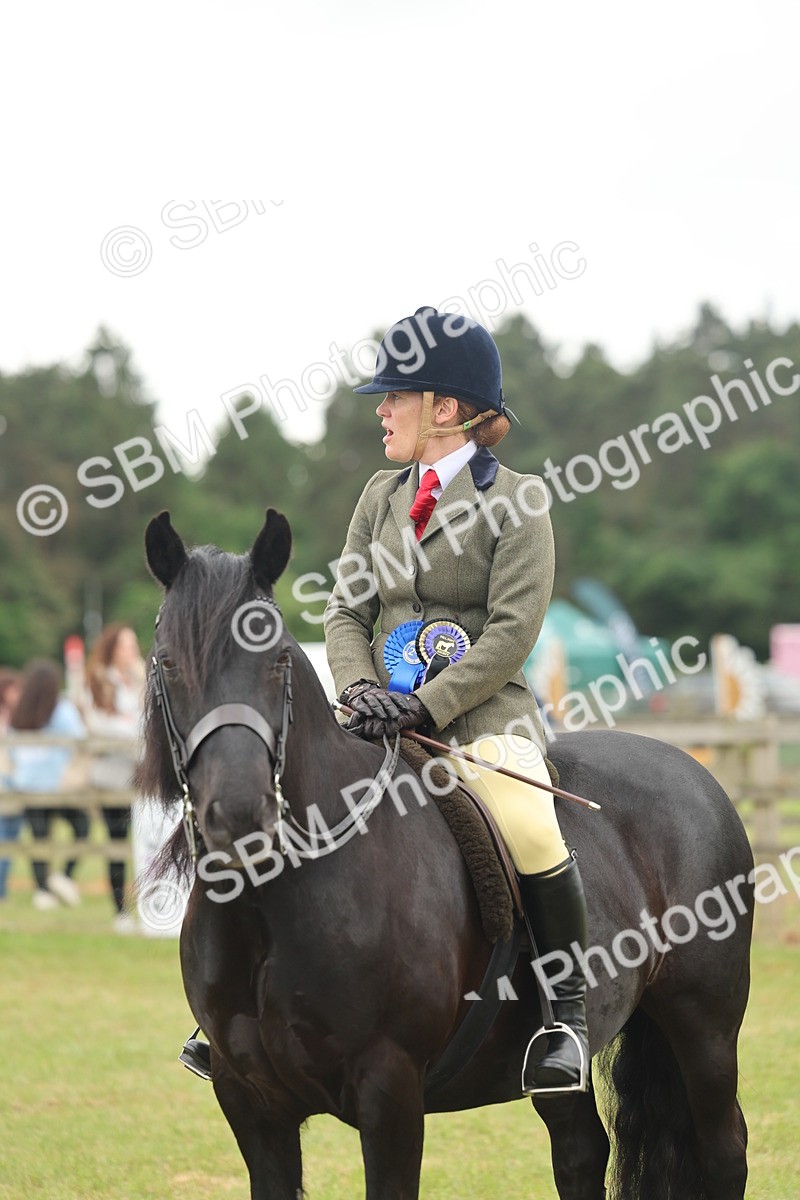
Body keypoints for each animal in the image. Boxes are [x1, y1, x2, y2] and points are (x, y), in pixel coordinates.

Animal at [137, 507, 754, 1200]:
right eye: (167, 663)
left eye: (276, 663)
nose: (240, 816)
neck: (274, 902)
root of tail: (693, 769)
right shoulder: (252, 1104)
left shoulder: (390, 1093)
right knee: (580, 1150)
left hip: (704, 1025)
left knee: (723, 1147)